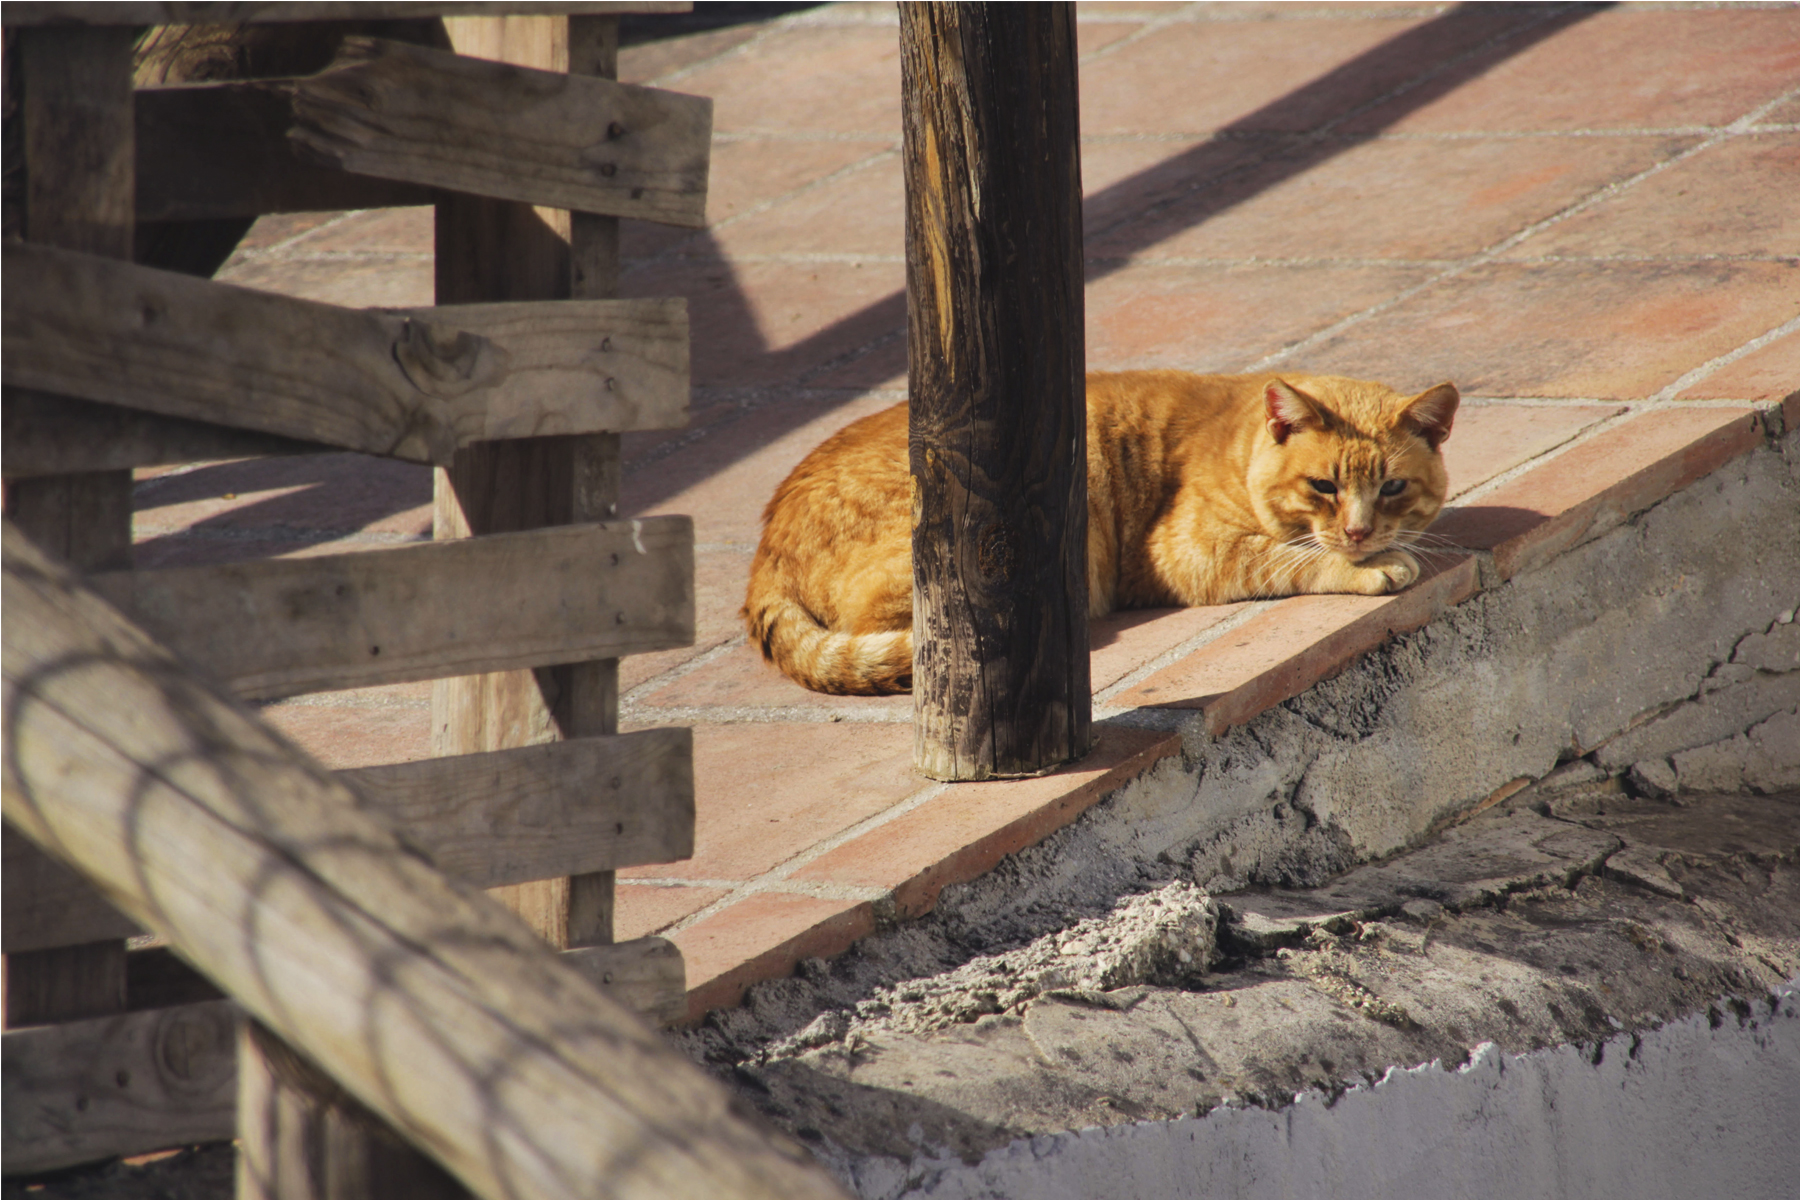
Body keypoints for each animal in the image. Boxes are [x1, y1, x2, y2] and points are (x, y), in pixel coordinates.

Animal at [738, 370, 1454, 698]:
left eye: (1393, 487)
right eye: (1323, 487)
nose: (1360, 531)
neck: (1239, 441)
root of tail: (763, 549)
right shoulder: (1188, 552)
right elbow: (1290, 556)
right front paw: (1374, 565)